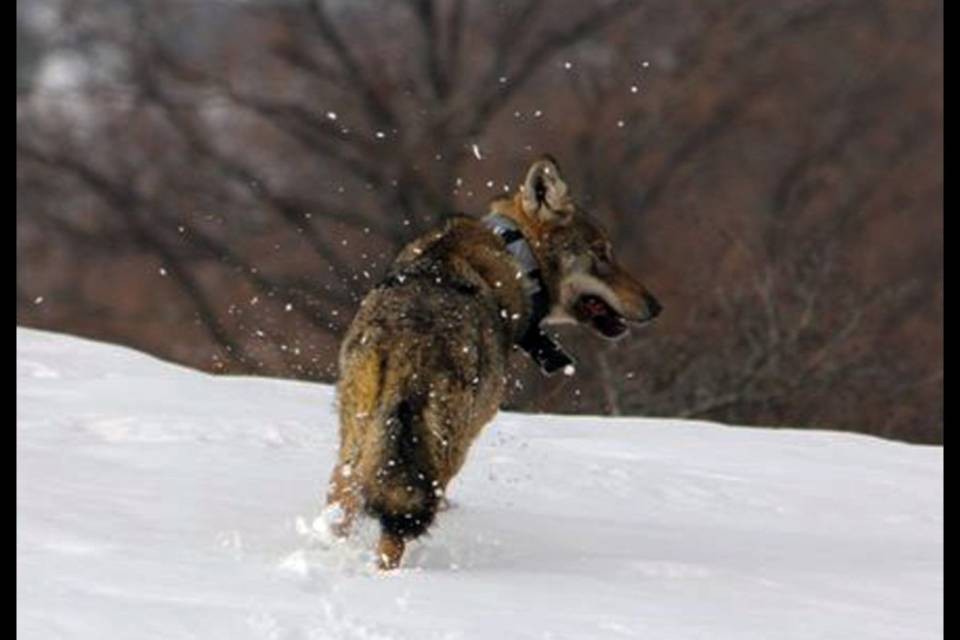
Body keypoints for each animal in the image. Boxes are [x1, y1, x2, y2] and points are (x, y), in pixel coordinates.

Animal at [325, 156, 661, 569]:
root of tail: (408, 341)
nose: (656, 306)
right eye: (602, 254)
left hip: (357, 444)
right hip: (439, 453)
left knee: (343, 506)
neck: (515, 256)